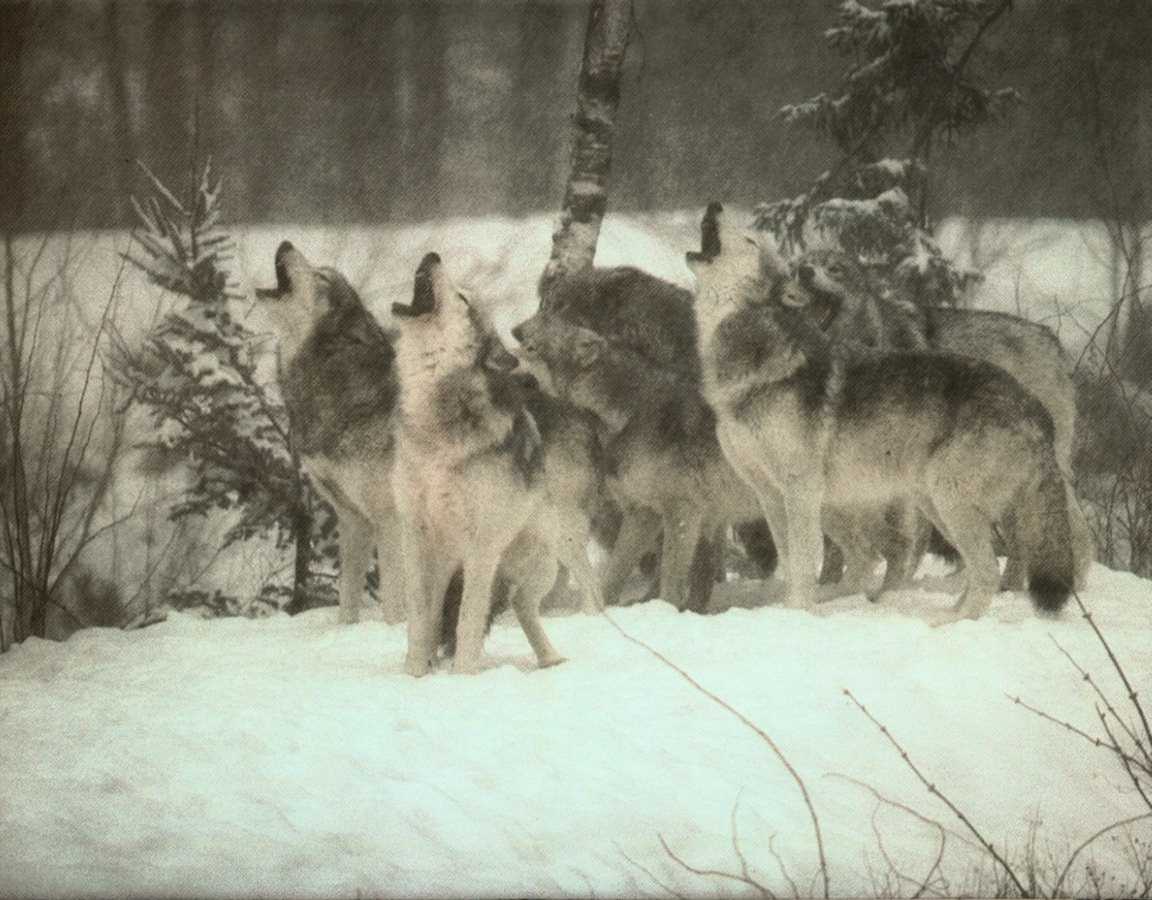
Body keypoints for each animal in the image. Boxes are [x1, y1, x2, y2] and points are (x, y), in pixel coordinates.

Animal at [390, 252, 605, 675]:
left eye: (462, 298)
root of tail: (579, 413)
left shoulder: (481, 545)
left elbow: (468, 620)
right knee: (513, 607)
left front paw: (462, 677)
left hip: (551, 555)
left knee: (570, 594)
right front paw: (414, 675)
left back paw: (557, 656)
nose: (432, 255)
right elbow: (420, 621)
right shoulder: (415, 537)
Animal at [688, 203, 1075, 621]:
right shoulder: (770, 495)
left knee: (986, 571)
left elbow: (805, 563)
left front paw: (799, 614)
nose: (714, 205)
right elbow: (791, 564)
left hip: (947, 501)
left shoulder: (801, 489)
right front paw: (789, 613)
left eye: (749, 239)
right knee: (972, 570)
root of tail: (1032, 405)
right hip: (934, 506)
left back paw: (946, 623)